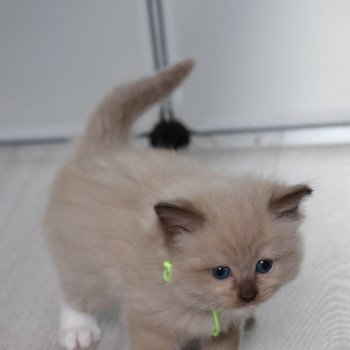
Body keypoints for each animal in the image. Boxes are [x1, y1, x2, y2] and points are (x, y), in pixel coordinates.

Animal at [43, 58, 312, 348]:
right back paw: (78, 331)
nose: (248, 296)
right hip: (83, 265)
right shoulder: (151, 327)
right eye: (220, 272)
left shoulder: (225, 331)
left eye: (264, 266)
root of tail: (103, 148)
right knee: (73, 295)